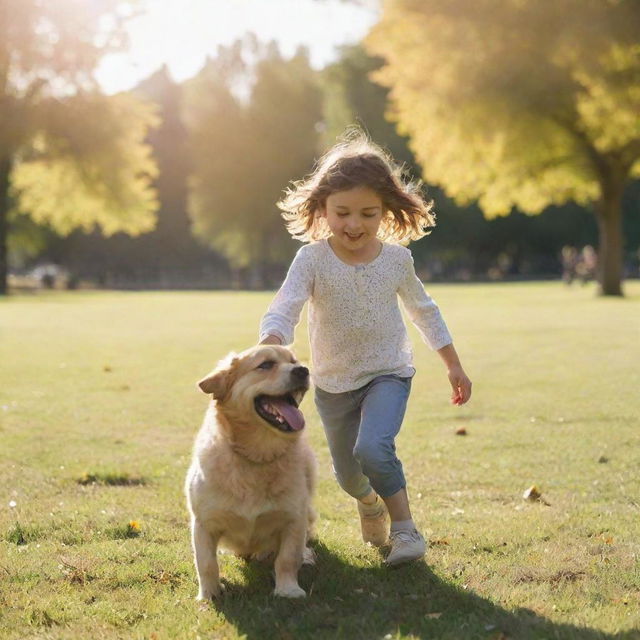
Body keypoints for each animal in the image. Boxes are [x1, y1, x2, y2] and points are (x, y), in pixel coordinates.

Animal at [184, 344, 316, 600]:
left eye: (293, 361)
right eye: (265, 365)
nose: (303, 370)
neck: (256, 457)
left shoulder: (293, 519)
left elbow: (287, 558)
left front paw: (288, 589)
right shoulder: (203, 523)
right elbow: (206, 563)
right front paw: (209, 595)